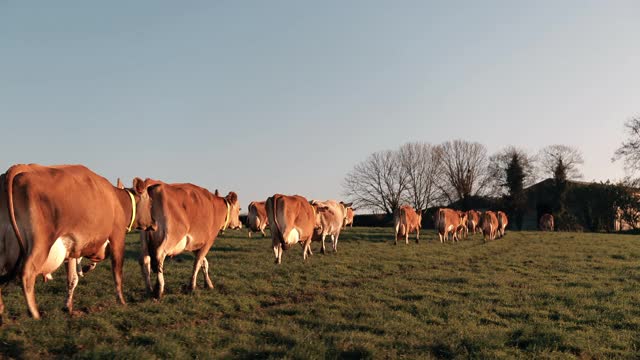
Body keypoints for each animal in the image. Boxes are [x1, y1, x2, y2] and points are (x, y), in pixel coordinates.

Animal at [0, 165, 155, 320]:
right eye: (150, 202)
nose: (154, 224)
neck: (118, 200)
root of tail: (19, 169)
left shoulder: (72, 249)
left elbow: (72, 279)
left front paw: (68, 306)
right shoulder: (117, 236)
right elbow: (117, 272)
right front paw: (122, 301)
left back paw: (2, 308)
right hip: (40, 243)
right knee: (27, 274)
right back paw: (35, 313)